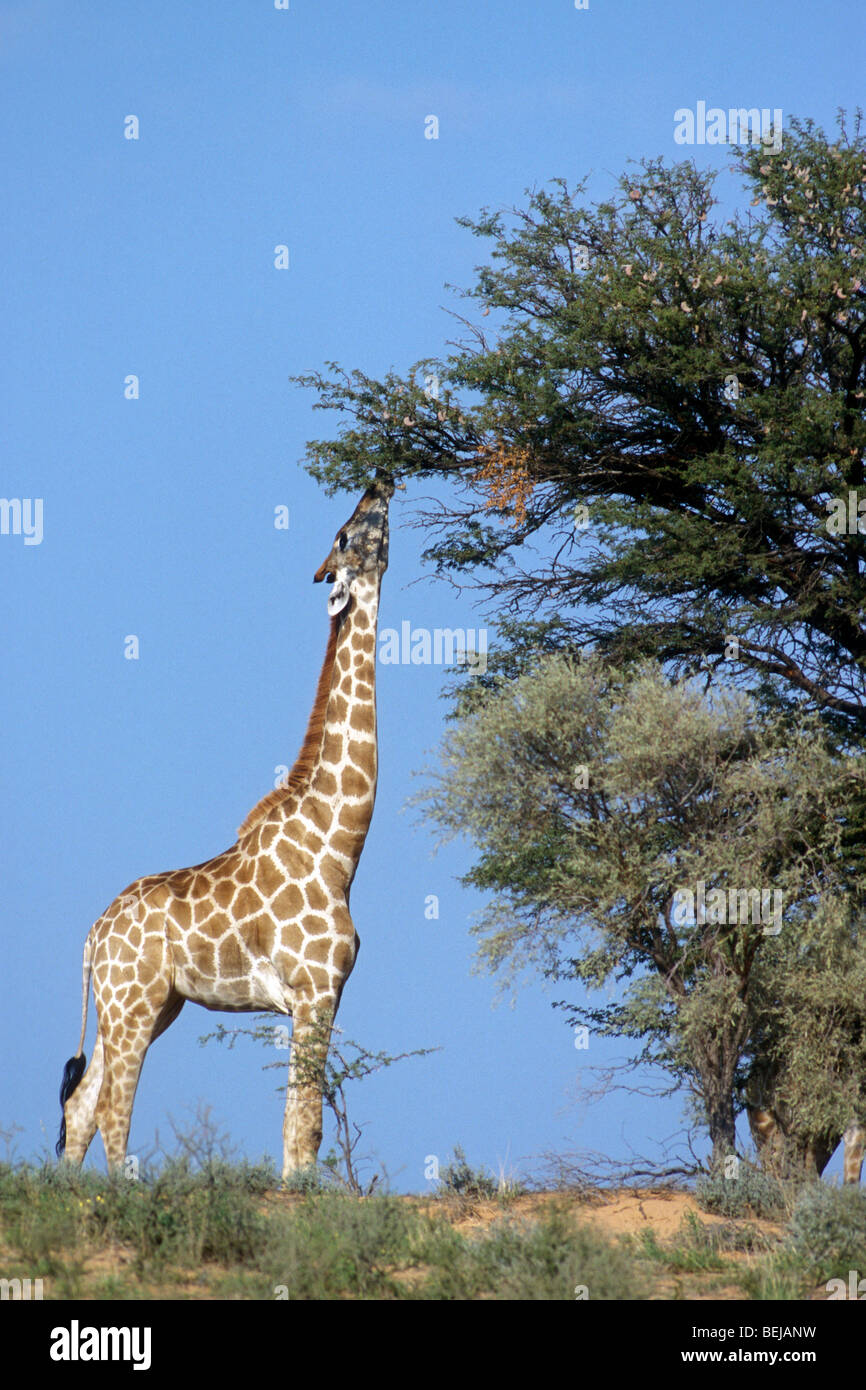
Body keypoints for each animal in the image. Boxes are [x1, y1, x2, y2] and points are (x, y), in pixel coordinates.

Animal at [56, 478, 395, 1181]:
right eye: (347, 533)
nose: (379, 481)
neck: (339, 849)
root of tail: (94, 934)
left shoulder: (323, 995)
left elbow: (299, 1120)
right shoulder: (315, 988)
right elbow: (306, 1122)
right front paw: (301, 1196)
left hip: (141, 1005)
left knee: (83, 1104)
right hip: (133, 1004)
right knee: (112, 1109)